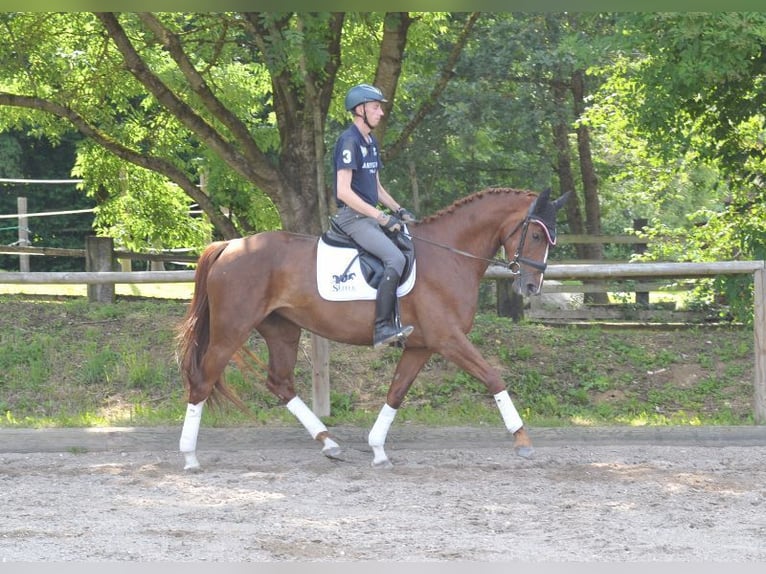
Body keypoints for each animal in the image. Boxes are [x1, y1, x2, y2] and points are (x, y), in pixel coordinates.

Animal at [176, 189, 568, 472]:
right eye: (536, 234)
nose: (532, 287)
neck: (449, 255)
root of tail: (230, 246)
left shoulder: (421, 346)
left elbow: (396, 392)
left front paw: (378, 449)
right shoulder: (448, 339)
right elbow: (493, 377)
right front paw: (522, 440)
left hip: (281, 329)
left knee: (280, 382)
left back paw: (329, 443)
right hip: (232, 329)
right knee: (203, 381)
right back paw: (190, 458)